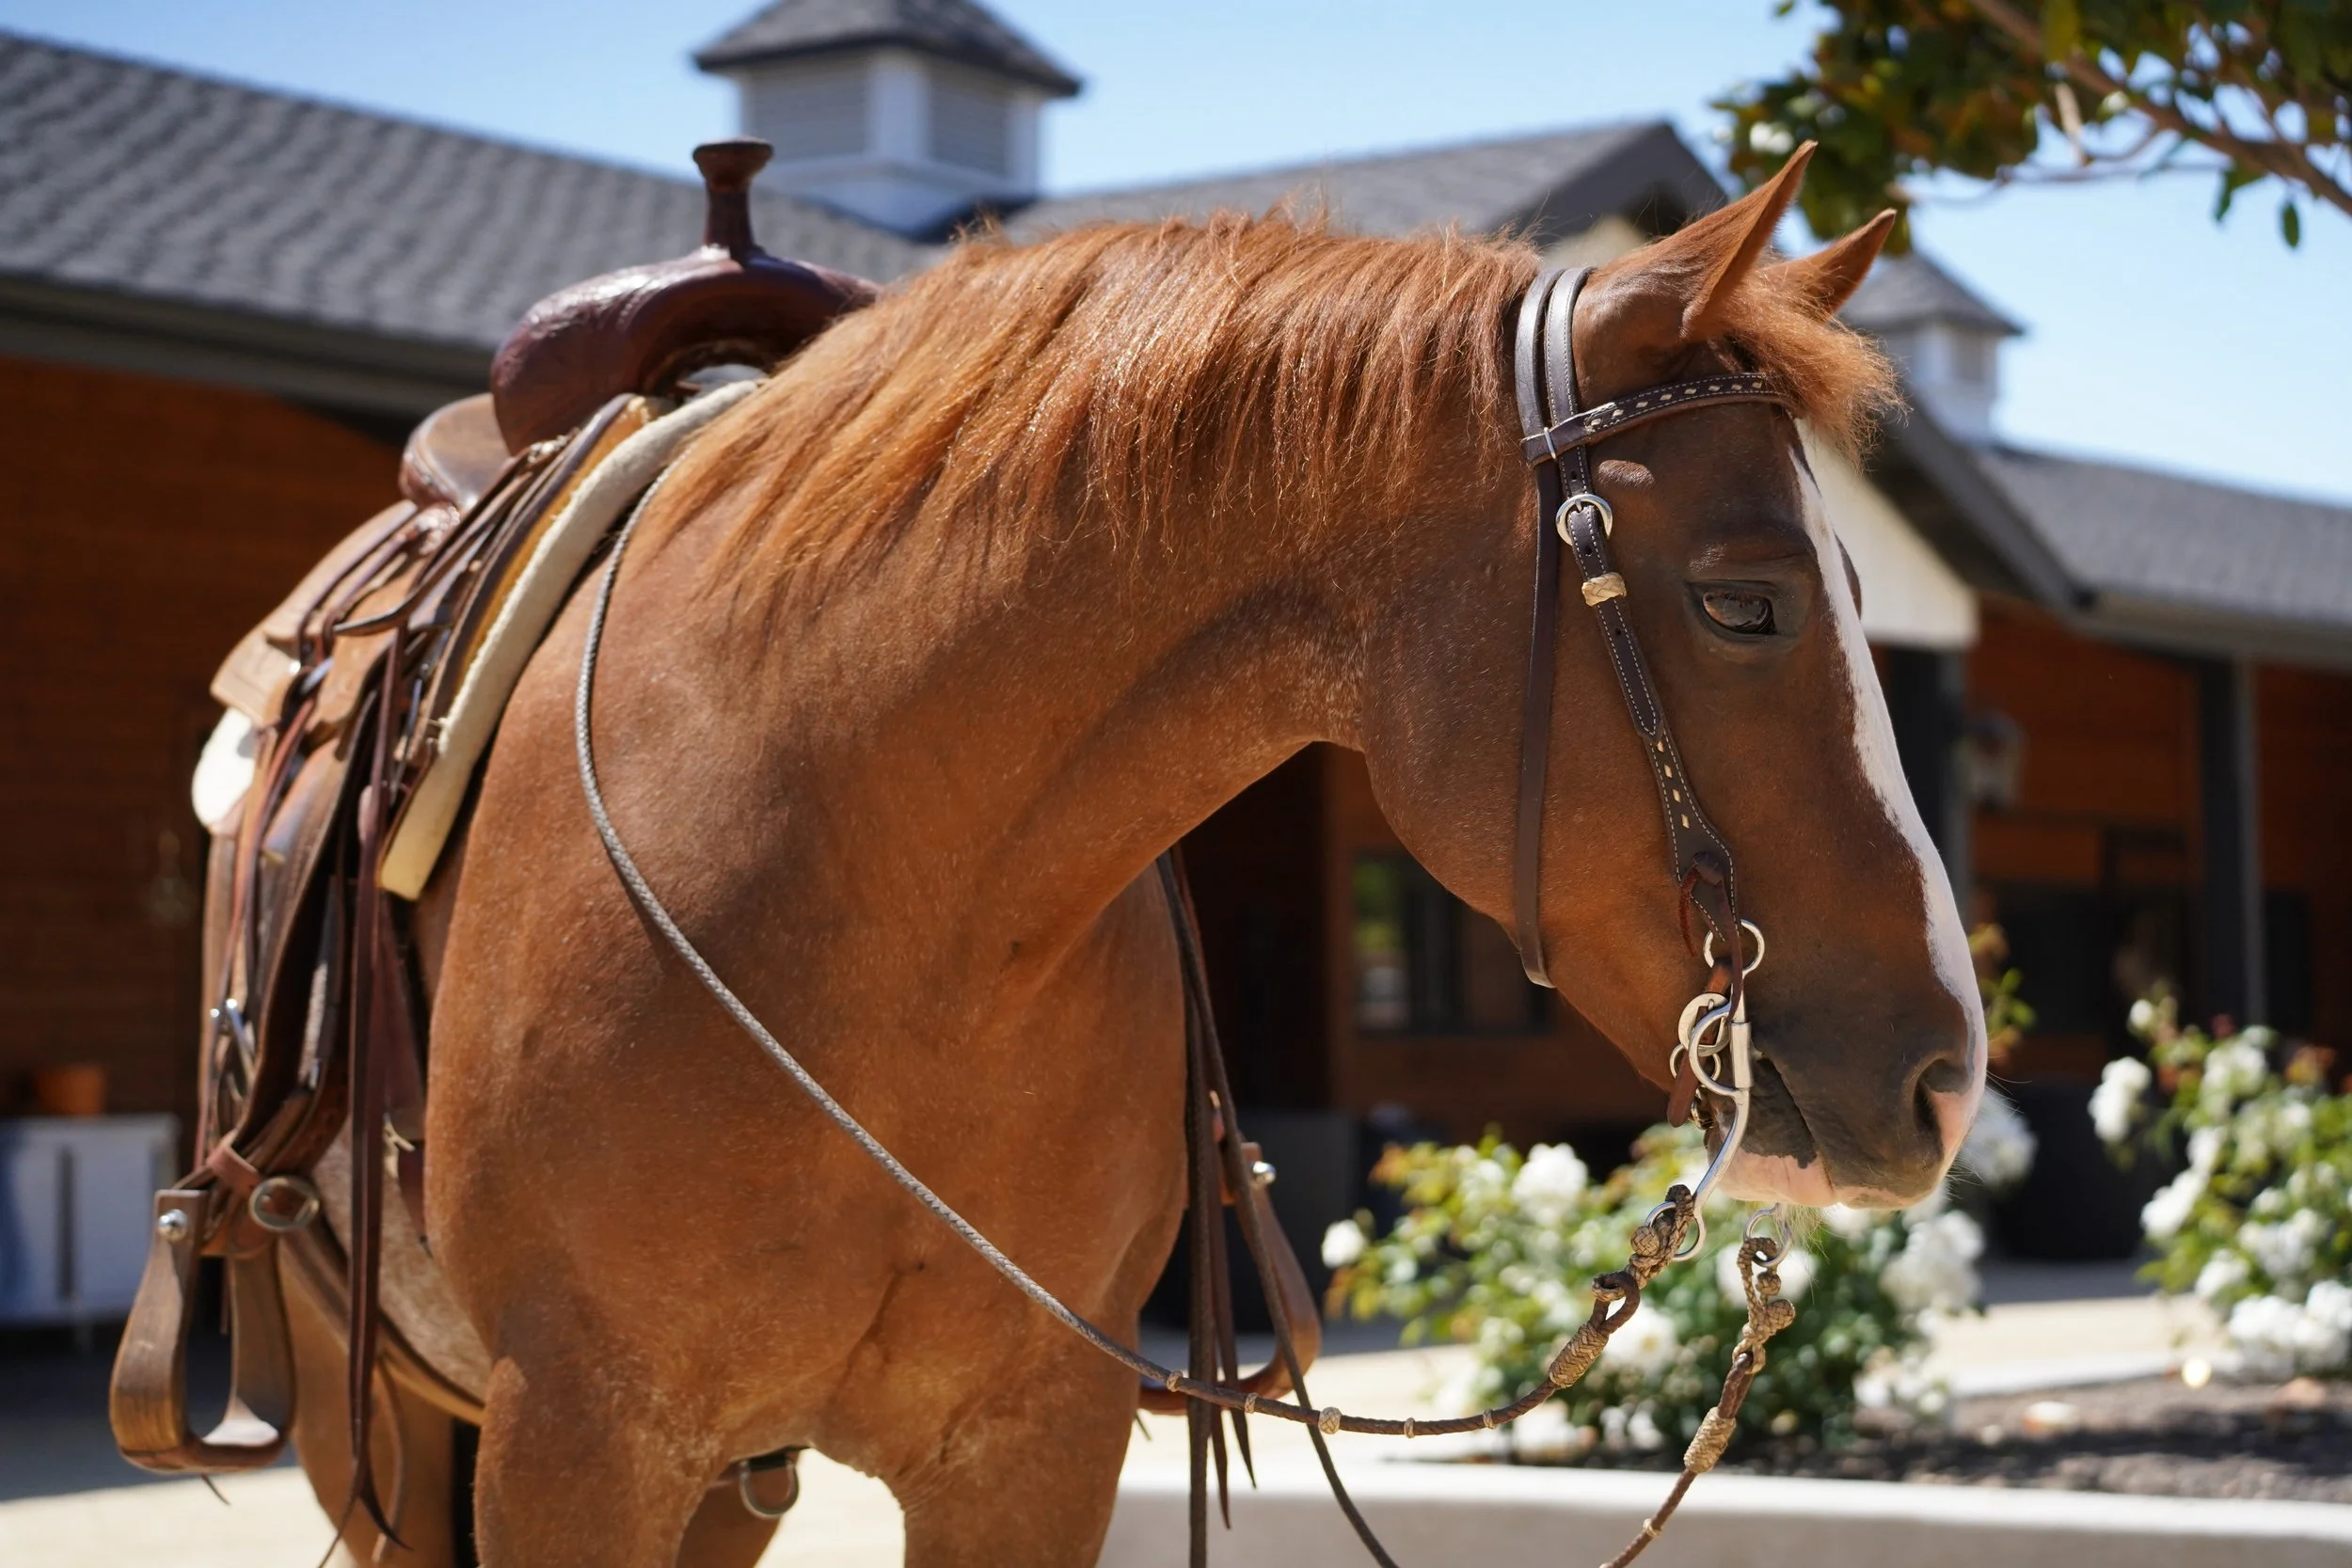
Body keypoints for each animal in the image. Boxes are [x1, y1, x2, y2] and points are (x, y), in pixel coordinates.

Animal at [280, 154, 1984, 1565]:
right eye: (1746, 602)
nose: (1950, 1079)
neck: (875, 896)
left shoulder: (1025, 1448)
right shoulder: (577, 1441)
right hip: (373, 1418)